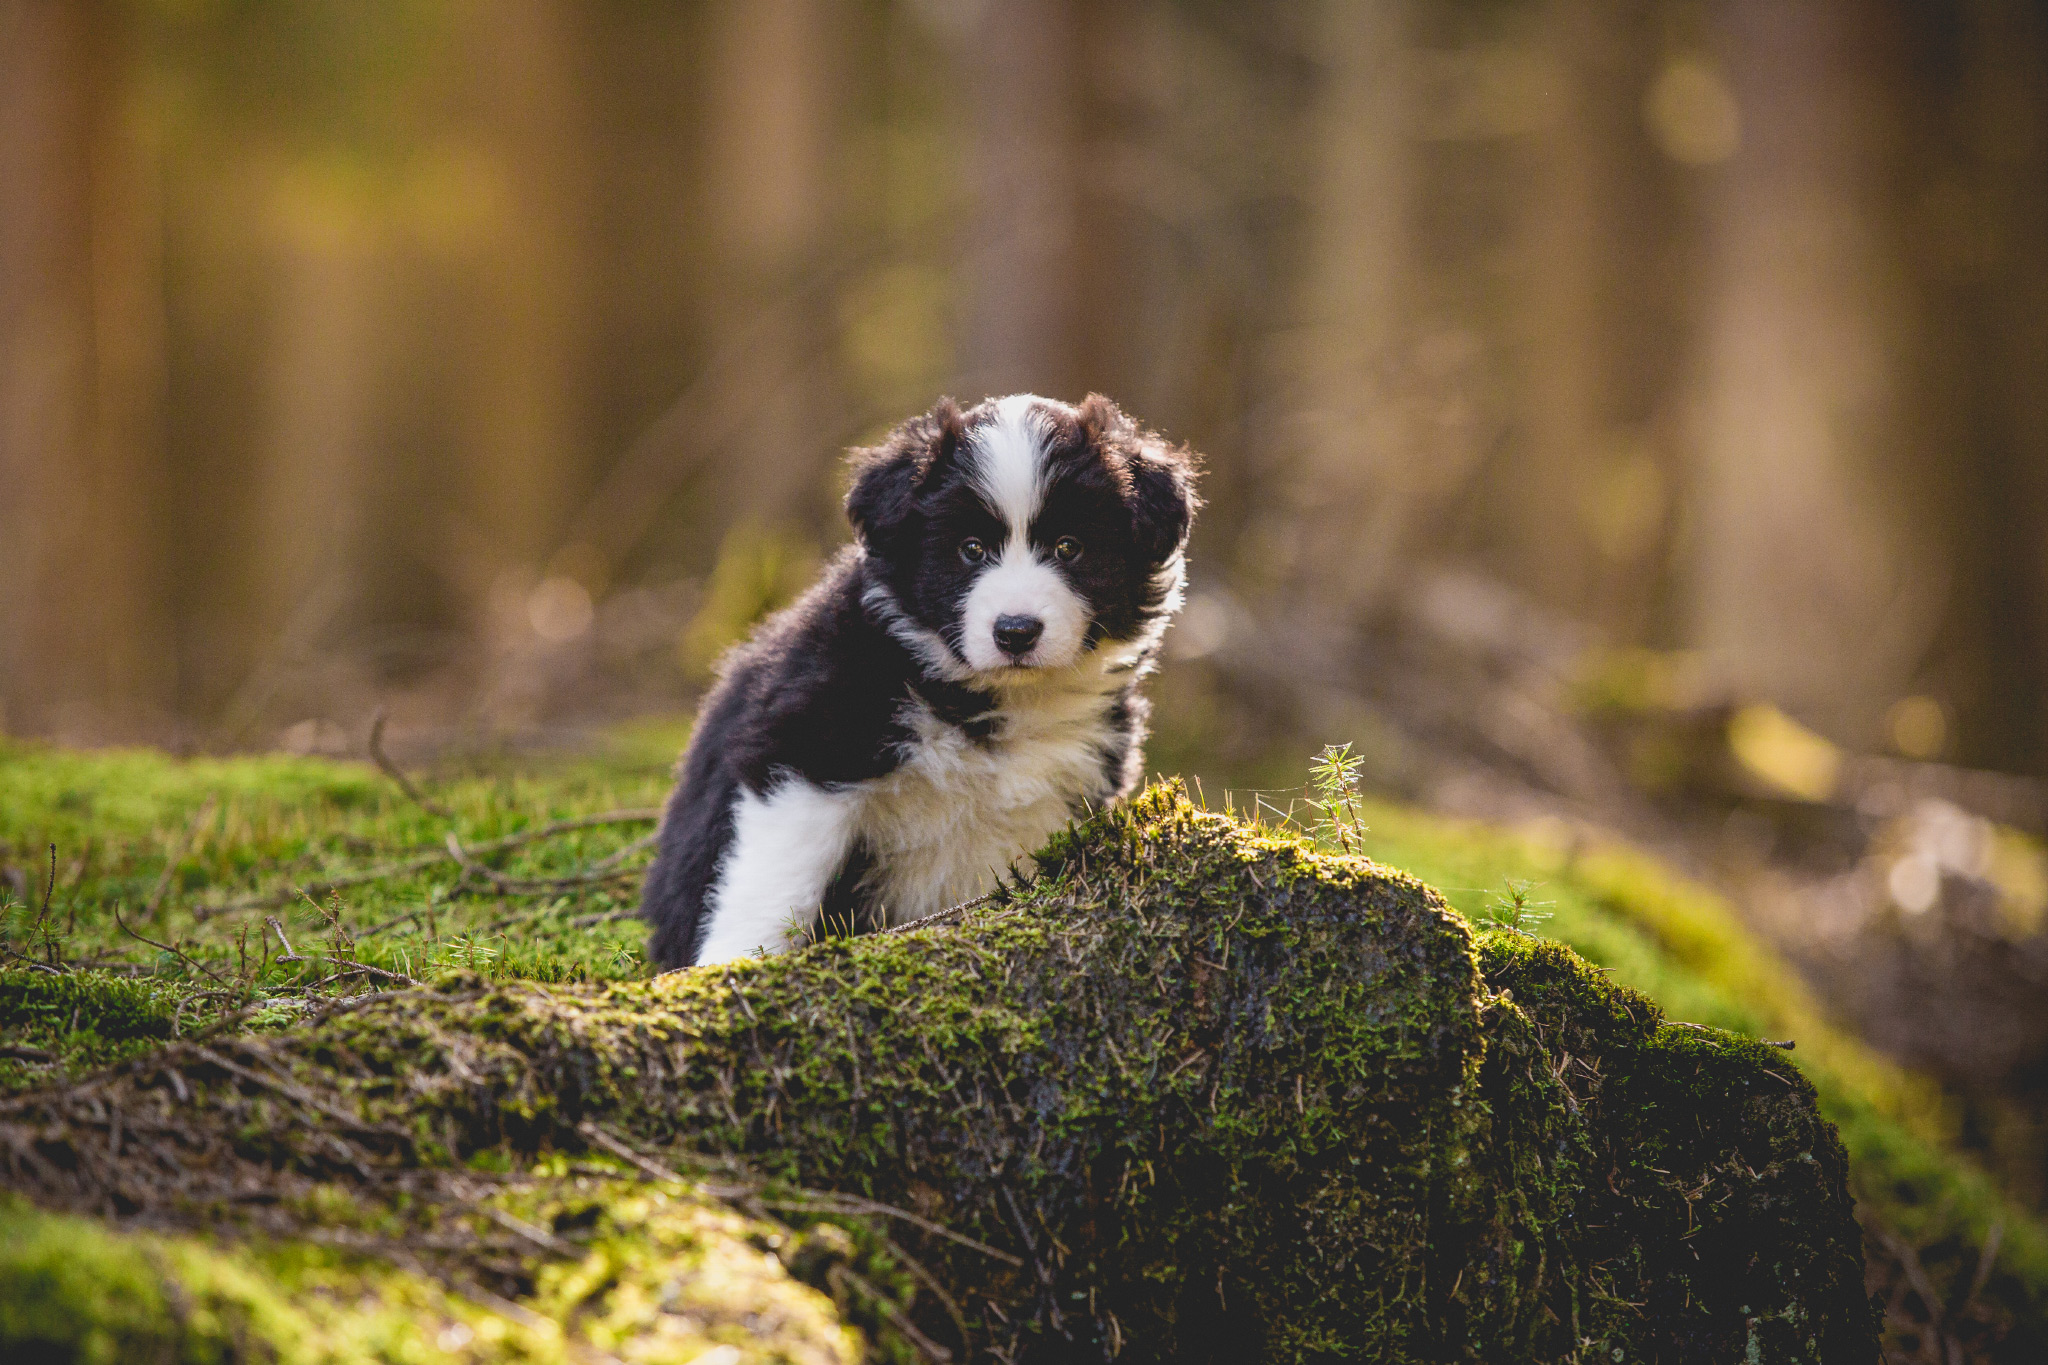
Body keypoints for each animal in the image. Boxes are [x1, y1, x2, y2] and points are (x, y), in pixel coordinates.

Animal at [638, 392, 1196, 970]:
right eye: (971, 549)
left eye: (1069, 547)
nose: (1016, 632)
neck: (993, 701)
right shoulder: (806, 744)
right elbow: (776, 877)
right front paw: (735, 964)